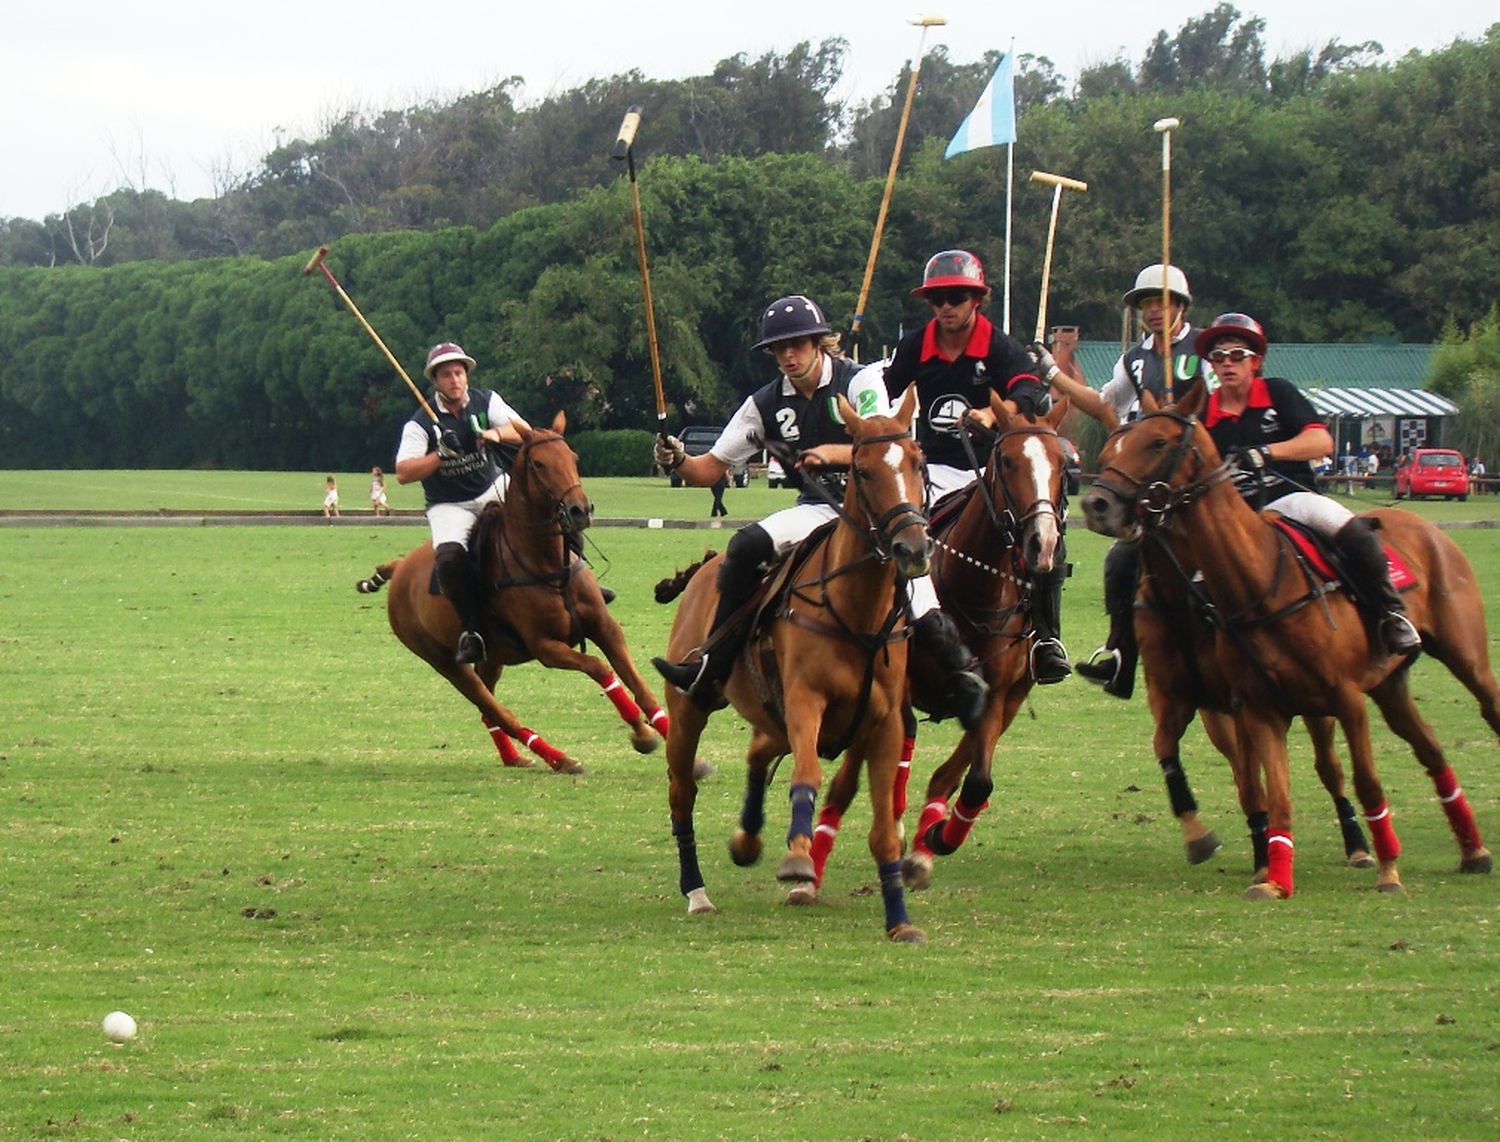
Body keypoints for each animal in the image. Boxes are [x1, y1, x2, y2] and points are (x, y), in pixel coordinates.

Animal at [354, 411, 666, 774]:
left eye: (573, 458)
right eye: (539, 464)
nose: (579, 510)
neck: (546, 563)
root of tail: (400, 567)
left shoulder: (605, 627)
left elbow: (638, 684)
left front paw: (668, 730)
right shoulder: (546, 647)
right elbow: (599, 667)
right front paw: (642, 735)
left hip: (493, 658)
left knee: (487, 711)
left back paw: (515, 757)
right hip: (443, 661)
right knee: (497, 711)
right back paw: (559, 758)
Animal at [660, 387, 930, 942]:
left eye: (917, 461)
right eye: (863, 470)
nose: (913, 549)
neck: (857, 612)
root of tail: (707, 566)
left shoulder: (885, 723)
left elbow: (883, 832)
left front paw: (900, 922)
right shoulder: (807, 700)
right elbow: (806, 774)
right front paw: (798, 860)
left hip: (770, 711)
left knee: (758, 751)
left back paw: (747, 840)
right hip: (689, 710)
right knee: (682, 794)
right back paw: (697, 891)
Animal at [1086, 378, 1494, 894]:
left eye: (1157, 443)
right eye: (1114, 443)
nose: (1095, 504)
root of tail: (1425, 526)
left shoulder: (1338, 699)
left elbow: (1359, 780)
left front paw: (1384, 871)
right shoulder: (1219, 702)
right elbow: (1247, 782)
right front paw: (1253, 864)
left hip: (1462, 658)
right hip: (1387, 684)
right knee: (1430, 750)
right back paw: (1473, 850)